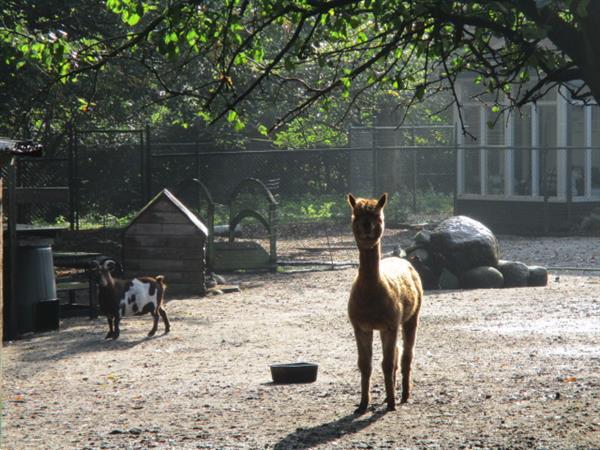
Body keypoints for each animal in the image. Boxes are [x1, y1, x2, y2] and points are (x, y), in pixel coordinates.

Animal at [344, 193, 424, 414]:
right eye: (355, 215)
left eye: (377, 215)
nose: (366, 225)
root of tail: (403, 260)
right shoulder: (361, 327)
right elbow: (365, 365)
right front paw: (362, 404)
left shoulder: (391, 324)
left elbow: (387, 364)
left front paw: (391, 405)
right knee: (397, 354)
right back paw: (392, 394)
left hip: (411, 317)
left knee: (406, 355)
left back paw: (404, 395)